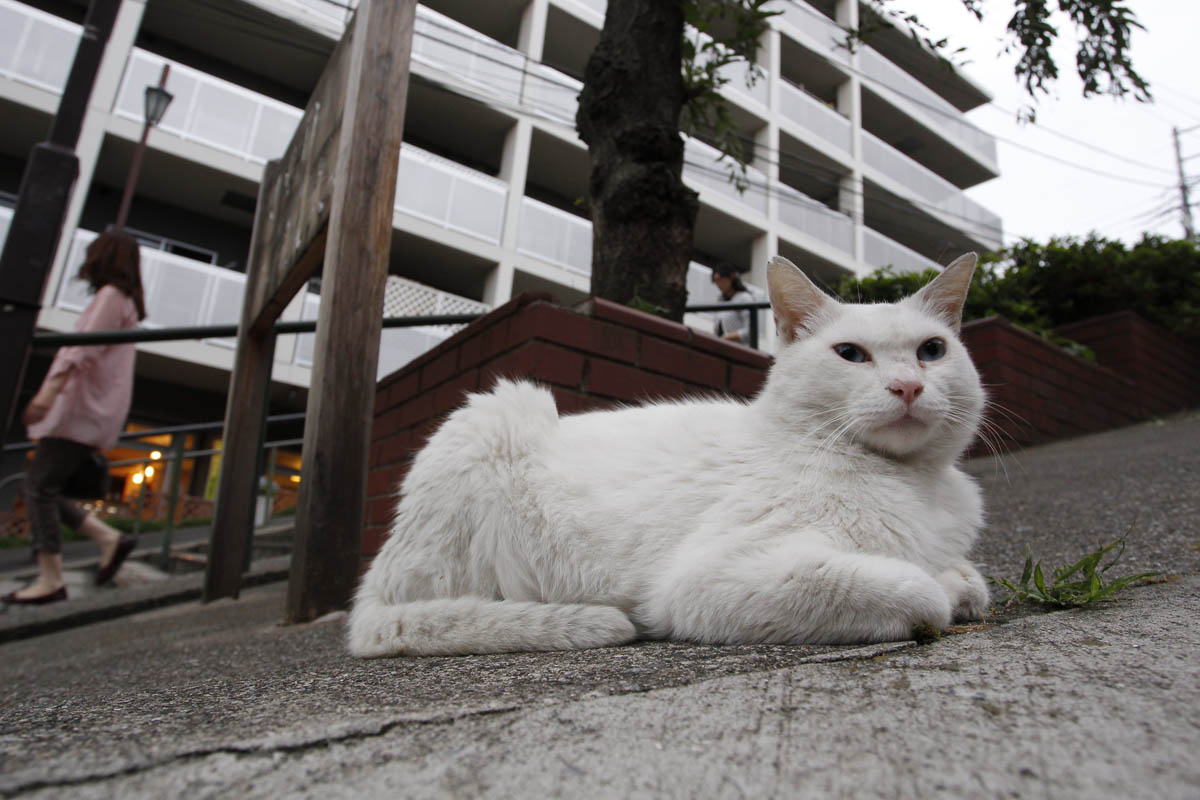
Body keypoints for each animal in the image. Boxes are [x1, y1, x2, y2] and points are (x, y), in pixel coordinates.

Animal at [348, 255, 984, 657]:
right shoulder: (708, 582)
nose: (908, 386)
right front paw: (939, 590)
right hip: (497, 417)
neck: (916, 484)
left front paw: (957, 579)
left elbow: (970, 581)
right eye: (850, 354)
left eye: (932, 351)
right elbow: (921, 593)